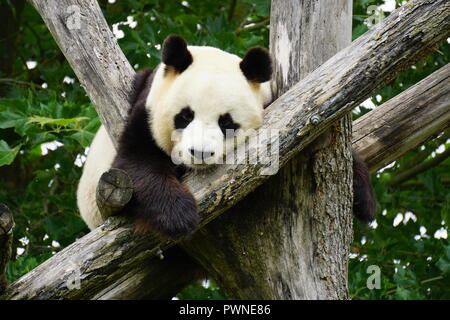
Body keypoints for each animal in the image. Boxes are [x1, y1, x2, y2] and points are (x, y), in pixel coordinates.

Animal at [78, 35, 376, 239]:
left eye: (227, 122)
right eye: (184, 116)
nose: (199, 153)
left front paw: (363, 198)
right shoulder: (144, 113)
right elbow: (135, 165)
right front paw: (179, 215)